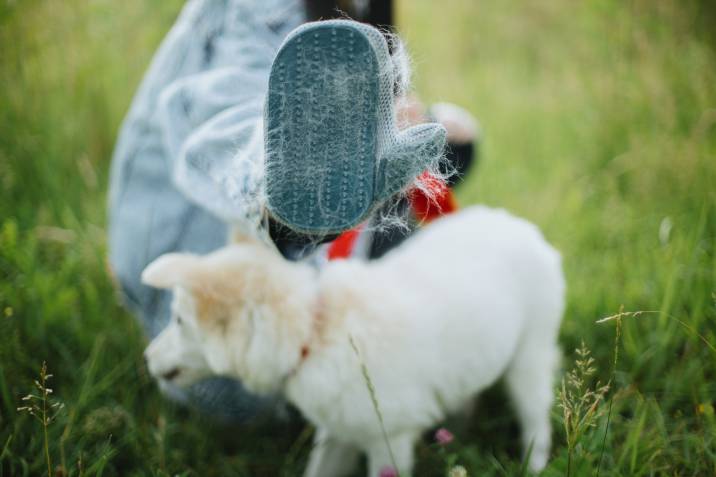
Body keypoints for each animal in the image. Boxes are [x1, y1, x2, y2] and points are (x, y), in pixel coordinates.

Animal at [141, 205, 564, 476]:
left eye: (178, 320)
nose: (145, 357)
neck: (315, 330)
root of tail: (522, 228)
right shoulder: (338, 432)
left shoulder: (389, 440)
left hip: (530, 358)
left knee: (536, 420)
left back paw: (533, 465)